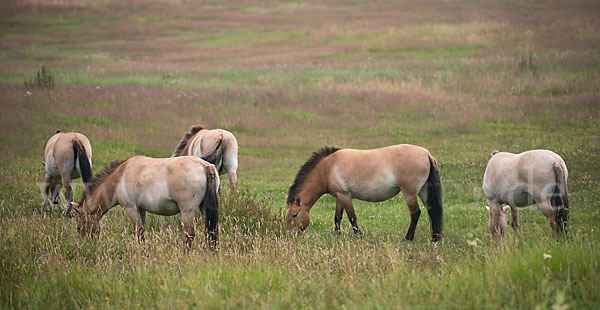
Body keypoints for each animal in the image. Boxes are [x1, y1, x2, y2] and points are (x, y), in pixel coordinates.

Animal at [69, 155, 220, 249]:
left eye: (79, 227)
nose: (86, 245)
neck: (120, 177)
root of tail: (205, 165)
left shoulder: (130, 208)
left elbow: (139, 232)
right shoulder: (141, 209)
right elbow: (142, 232)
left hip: (187, 212)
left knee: (190, 234)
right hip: (204, 209)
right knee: (209, 232)